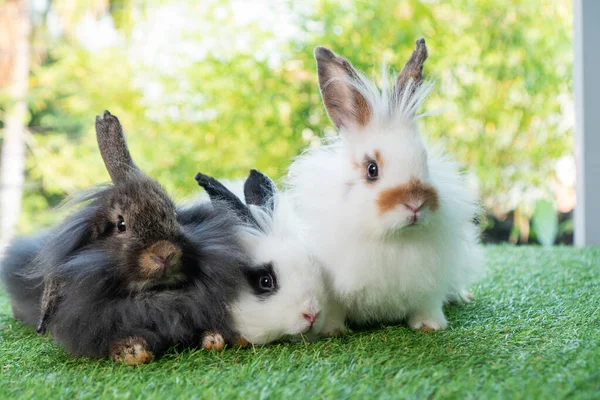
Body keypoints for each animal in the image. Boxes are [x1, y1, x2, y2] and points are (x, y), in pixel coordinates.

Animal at [0, 111, 248, 364]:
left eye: (175, 215)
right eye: (121, 225)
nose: (164, 253)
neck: (156, 295)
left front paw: (216, 339)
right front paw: (133, 352)